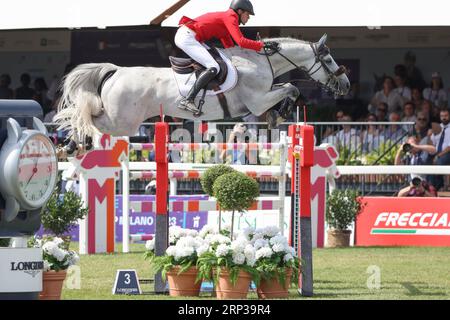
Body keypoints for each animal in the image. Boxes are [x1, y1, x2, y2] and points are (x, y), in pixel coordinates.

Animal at [54, 34, 350, 143]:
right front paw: (280, 113)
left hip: (121, 121)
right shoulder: (257, 101)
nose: (346, 85)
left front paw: (278, 115)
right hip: (122, 122)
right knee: (87, 116)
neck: (259, 60)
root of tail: (117, 71)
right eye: (329, 60)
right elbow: (291, 87)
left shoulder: (262, 96)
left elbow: (287, 88)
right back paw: (69, 136)